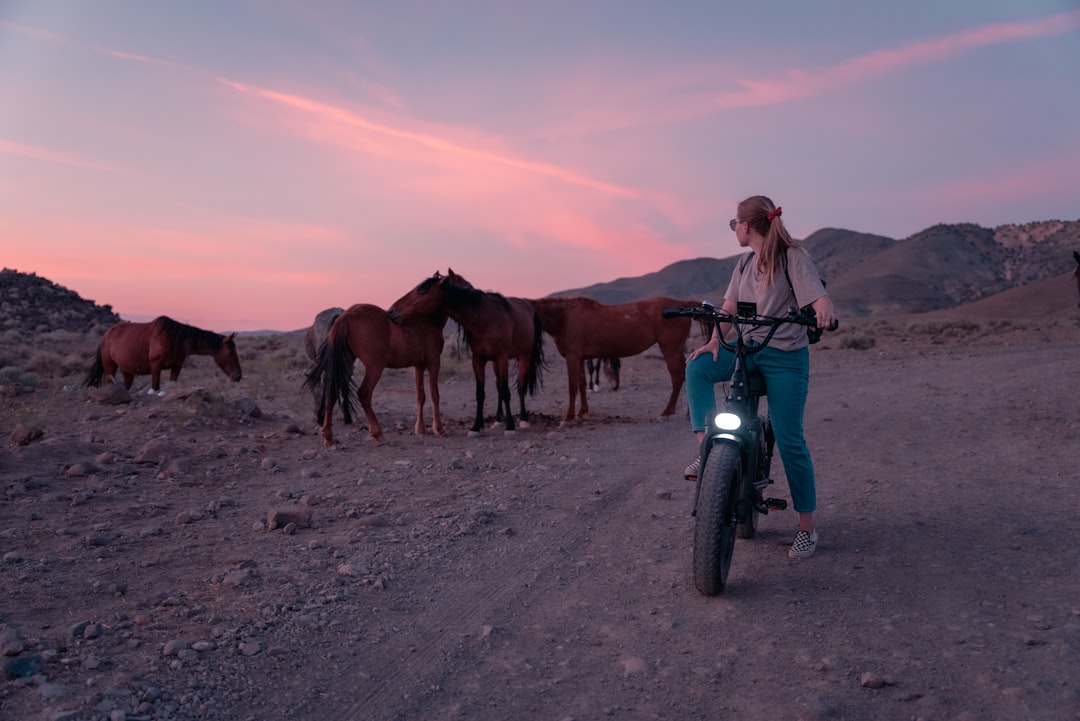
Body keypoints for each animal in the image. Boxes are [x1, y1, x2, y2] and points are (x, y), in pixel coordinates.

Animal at [84, 315, 240, 395]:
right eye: (231, 351)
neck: (173, 338)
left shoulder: (176, 367)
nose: (238, 376)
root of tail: (106, 335)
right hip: (109, 366)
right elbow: (155, 387)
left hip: (126, 370)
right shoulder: (155, 366)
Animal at [302, 300, 444, 444]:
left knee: (339, 390)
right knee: (351, 390)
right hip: (362, 364)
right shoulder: (428, 362)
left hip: (355, 363)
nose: (317, 416)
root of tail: (344, 315)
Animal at [388, 268, 544, 433]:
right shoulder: (478, 359)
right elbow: (481, 393)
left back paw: (523, 419)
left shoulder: (502, 358)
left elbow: (506, 391)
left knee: (520, 387)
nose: (391, 311)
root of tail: (529, 306)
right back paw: (498, 419)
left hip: (524, 356)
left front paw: (510, 426)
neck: (485, 319)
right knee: (498, 387)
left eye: (422, 292)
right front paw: (476, 426)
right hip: (496, 362)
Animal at [529, 297, 695, 425]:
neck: (564, 318)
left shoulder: (572, 358)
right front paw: (582, 412)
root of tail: (683, 304)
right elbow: (582, 385)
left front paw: (568, 418)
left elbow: (572, 387)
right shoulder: (580, 358)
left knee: (678, 377)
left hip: (671, 349)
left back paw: (667, 412)